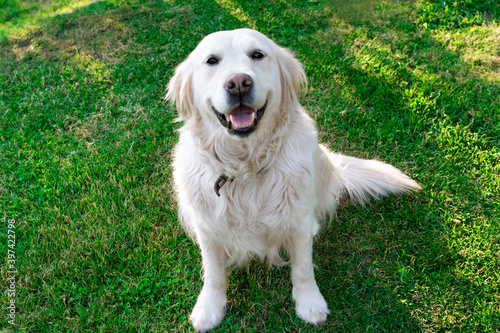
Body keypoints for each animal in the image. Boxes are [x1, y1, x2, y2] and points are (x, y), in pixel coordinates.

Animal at [166, 29, 420, 332]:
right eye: (212, 60)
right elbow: (214, 272)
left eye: (257, 55)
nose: (238, 83)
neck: (246, 168)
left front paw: (310, 303)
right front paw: (209, 308)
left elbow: (303, 268)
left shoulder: (297, 220)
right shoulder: (207, 227)